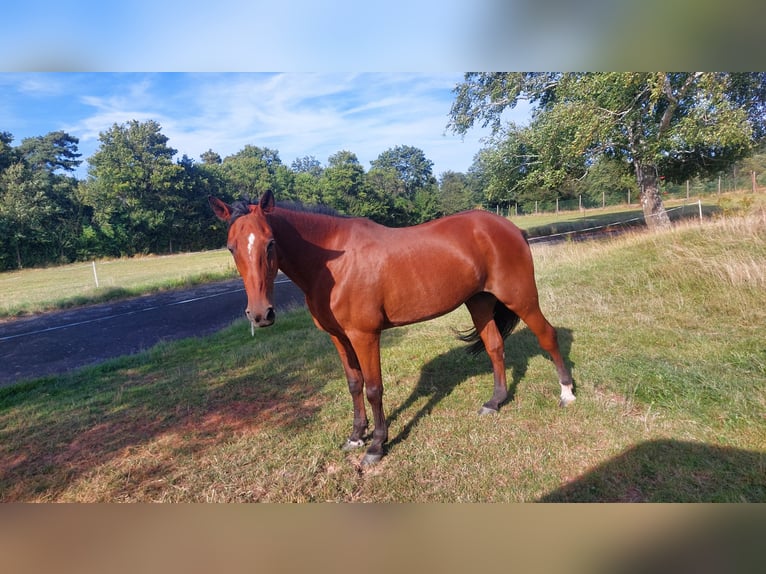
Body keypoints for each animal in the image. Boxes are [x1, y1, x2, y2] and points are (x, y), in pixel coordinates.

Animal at [210, 191, 576, 466]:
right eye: (231, 247)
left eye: (270, 243)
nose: (261, 314)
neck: (333, 265)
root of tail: (510, 228)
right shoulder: (338, 337)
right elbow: (354, 385)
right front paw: (355, 437)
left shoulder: (364, 336)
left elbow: (373, 389)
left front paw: (376, 446)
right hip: (480, 302)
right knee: (495, 347)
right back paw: (495, 402)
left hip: (521, 297)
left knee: (547, 336)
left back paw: (567, 393)